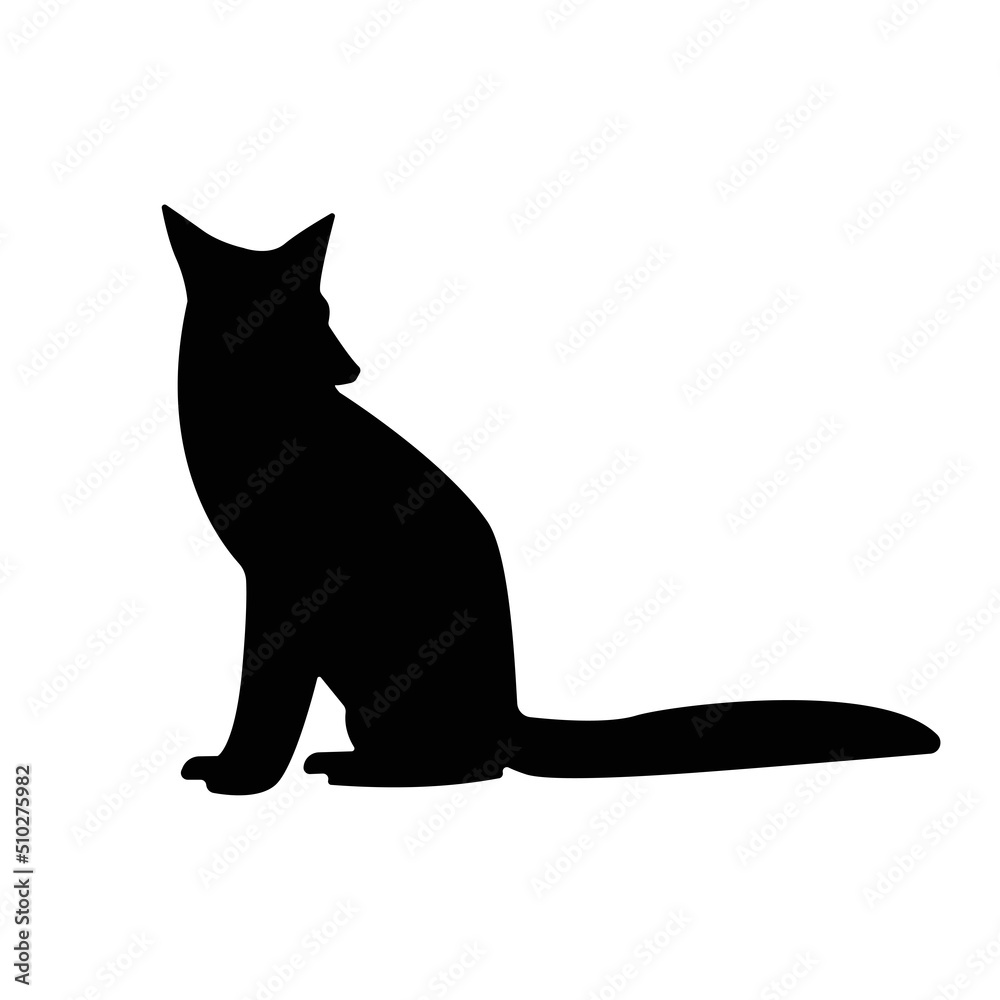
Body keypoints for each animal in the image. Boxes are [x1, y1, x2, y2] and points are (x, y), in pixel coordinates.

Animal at [163, 206, 939, 795]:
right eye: (296, 317)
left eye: (320, 310)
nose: (351, 368)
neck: (256, 415)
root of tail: (512, 714)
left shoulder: (285, 579)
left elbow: (264, 698)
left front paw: (241, 777)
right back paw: (347, 760)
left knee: (469, 768)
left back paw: (364, 773)